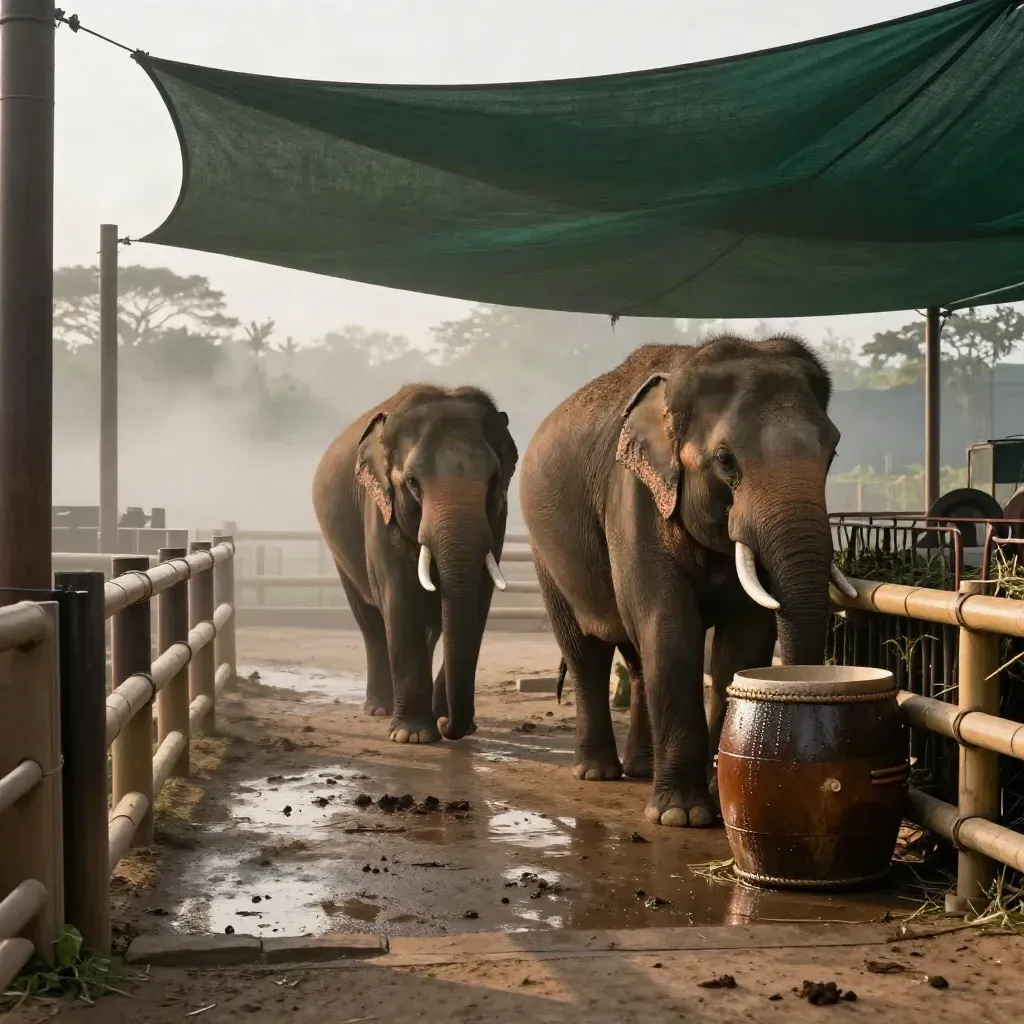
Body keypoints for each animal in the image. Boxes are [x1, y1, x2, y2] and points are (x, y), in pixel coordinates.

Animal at [312, 384, 518, 744]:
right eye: (412, 481)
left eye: (494, 480)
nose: (450, 727)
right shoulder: (380, 510)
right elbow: (401, 598)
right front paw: (414, 736)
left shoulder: (498, 519)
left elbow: (478, 602)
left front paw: (445, 722)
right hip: (340, 555)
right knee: (370, 623)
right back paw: (379, 708)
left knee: (432, 628)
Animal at [520, 333, 855, 827]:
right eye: (725, 460)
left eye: (831, 454)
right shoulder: (634, 497)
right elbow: (670, 625)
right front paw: (683, 816)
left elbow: (745, 637)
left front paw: (720, 793)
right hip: (546, 554)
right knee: (586, 654)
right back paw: (596, 772)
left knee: (637, 659)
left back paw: (640, 770)